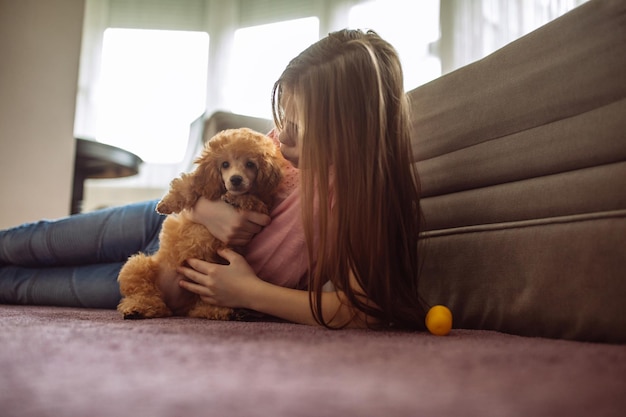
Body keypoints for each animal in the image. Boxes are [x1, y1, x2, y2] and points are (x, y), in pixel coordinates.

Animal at [116, 128, 284, 320]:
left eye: (250, 164)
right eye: (225, 164)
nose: (236, 179)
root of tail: (173, 306)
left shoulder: (262, 207)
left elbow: (250, 199)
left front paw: (235, 197)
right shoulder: (203, 185)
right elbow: (187, 184)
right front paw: (166, 204)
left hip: (205, 293)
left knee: (200, 309)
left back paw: (229, 312)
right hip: (137, 266)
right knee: (143, 294)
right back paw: (137, 308)